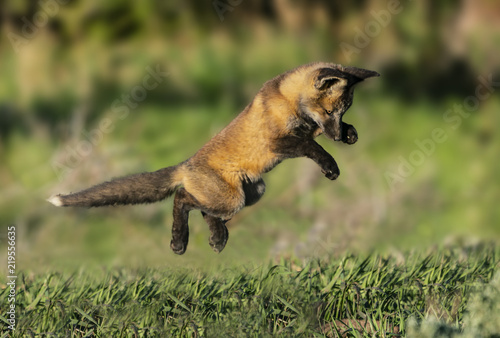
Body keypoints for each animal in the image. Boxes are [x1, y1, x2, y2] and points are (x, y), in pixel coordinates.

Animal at [47, 62, 378, 254]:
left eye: (342, 112)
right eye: (328, 111)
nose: (336, 136)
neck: (288, 101)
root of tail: (184, 165)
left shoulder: (304, 133)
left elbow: (318, 139)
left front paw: (350, 134)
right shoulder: (279, 142)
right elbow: (312, 148)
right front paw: (330, 164)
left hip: (252, 194)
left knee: (204, 211)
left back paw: (217, 238)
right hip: (232, 199)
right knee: (182, 198)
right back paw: (179, 241)